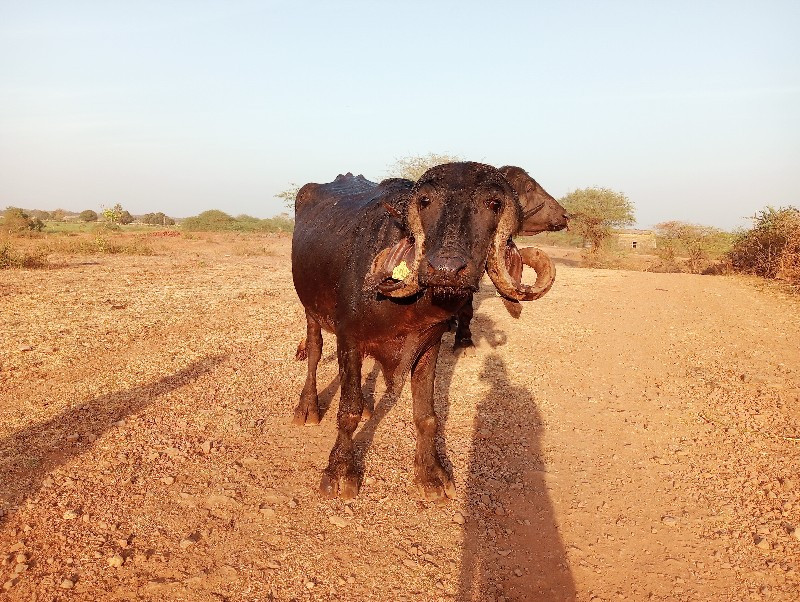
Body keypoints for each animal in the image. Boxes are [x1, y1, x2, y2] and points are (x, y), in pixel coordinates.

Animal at [290, 162, 552, 500]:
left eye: (493, 203)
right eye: (425, 201)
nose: (446, 270)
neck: (405, 308)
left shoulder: (430, 345)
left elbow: (427, 415)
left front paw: (431, 473)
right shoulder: (349, 339)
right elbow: (347, 411)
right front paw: (340, 471)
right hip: (310, 312)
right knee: (314, 351)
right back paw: (307, 407)